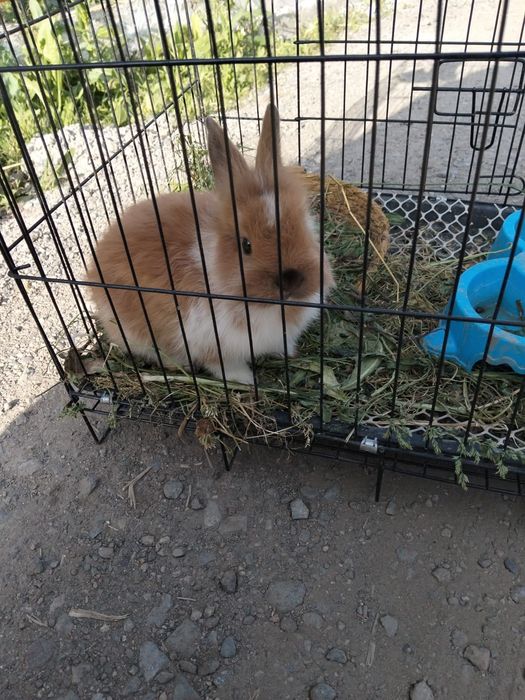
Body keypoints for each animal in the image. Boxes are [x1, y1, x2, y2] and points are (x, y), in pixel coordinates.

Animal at [85, 104, 335, 385]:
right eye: (246, 245)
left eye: (304, 227)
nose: (291, 280)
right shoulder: (210, 343)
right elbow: (223, 366)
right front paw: (248, 380)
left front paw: (288, 353)